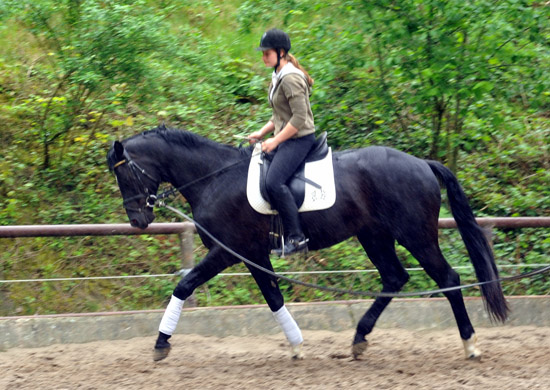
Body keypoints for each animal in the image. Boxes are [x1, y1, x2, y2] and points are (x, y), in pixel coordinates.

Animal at [106, 126, 508, 362]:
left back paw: (471, 345)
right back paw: (359, 339)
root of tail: (422, 163)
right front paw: (297, 344)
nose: (137, 221)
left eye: (124, 175)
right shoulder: (252, 254)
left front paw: (161, 344)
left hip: (416, 236)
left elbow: (184, 285)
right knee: (394, 278)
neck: (213, 178)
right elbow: (273, 298)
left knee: (448, 279)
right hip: (373, 235)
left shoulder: (227, 251)